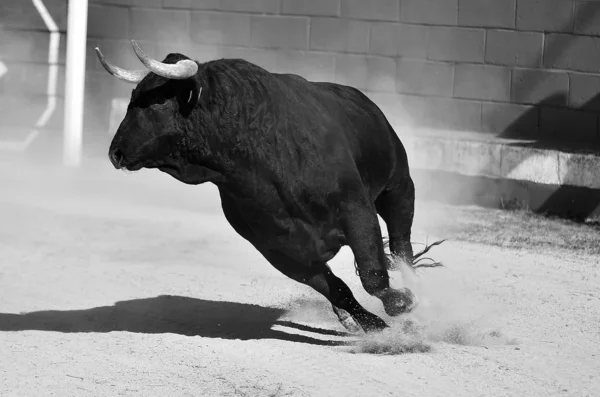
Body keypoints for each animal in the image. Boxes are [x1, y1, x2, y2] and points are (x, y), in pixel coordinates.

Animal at [95, 40, 440, 332]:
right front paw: (371, 325)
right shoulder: (280, 251)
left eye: (155, 104)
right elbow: (338, 288)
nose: (115, 152)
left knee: (401, 246)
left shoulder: (356, 210)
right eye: (131, 98)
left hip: (399, 187)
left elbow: (372, 274)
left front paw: (401, 302)